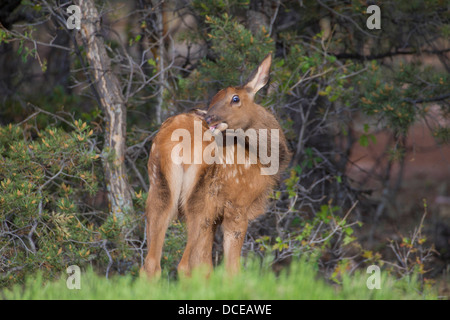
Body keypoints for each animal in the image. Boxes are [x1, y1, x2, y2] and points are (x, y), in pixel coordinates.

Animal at [146, 54, 290, 278]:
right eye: (213, 100)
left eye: (235, 98)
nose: (208, 117)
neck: (262, 159)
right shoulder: (238, 205)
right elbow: (231, 267)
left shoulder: (216, 216)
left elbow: (206, 265)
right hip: (201, 195)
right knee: (184, 264)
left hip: (158, 186)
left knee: (152, 262)